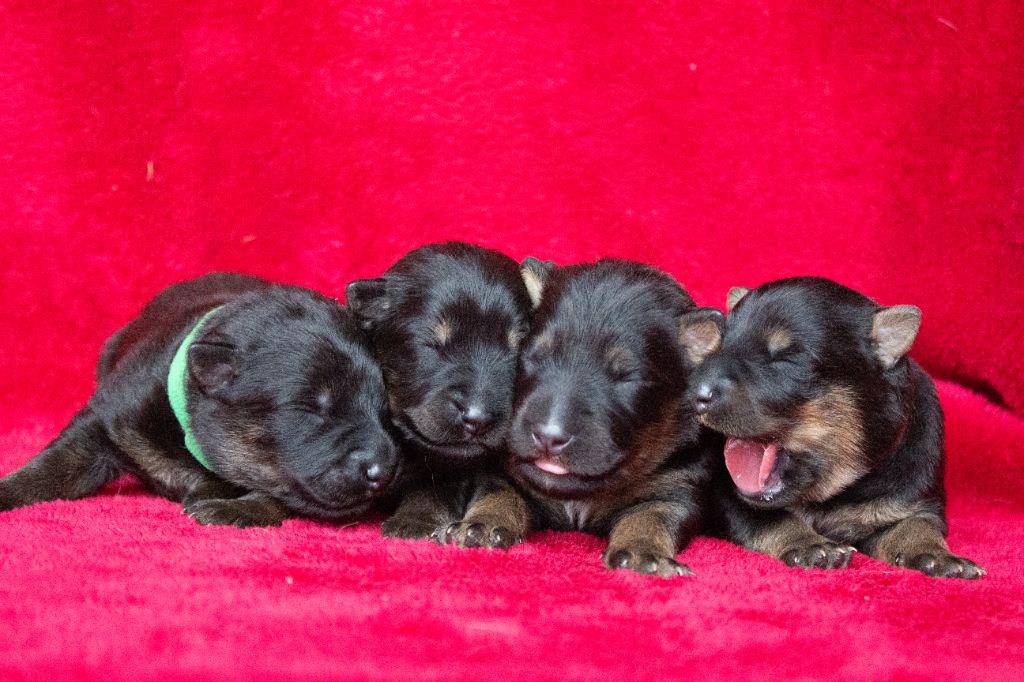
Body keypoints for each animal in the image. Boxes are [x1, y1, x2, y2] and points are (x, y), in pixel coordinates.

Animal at [0, 270, 397, 524]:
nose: (385, 471)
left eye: (385, 412)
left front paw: (233, 508)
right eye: (310, 408)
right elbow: (51, 466)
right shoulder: (107, 418)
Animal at [464, 254, 720, 573]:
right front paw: (483, 526)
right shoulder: (502, 467)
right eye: (533, 356)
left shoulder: (678, 485)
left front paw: (642, 553)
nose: (548, 437)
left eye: (627, 377)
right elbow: (498, 491)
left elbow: (652, 516)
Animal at [692, 276, 978, 577]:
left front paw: (941, 556)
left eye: (785, 360)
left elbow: (918, 524)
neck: (836, 489)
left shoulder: (916, 499)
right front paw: (812, 545)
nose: (695, 394)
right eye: (716, 351)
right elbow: (772, 518)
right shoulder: (728, 496)